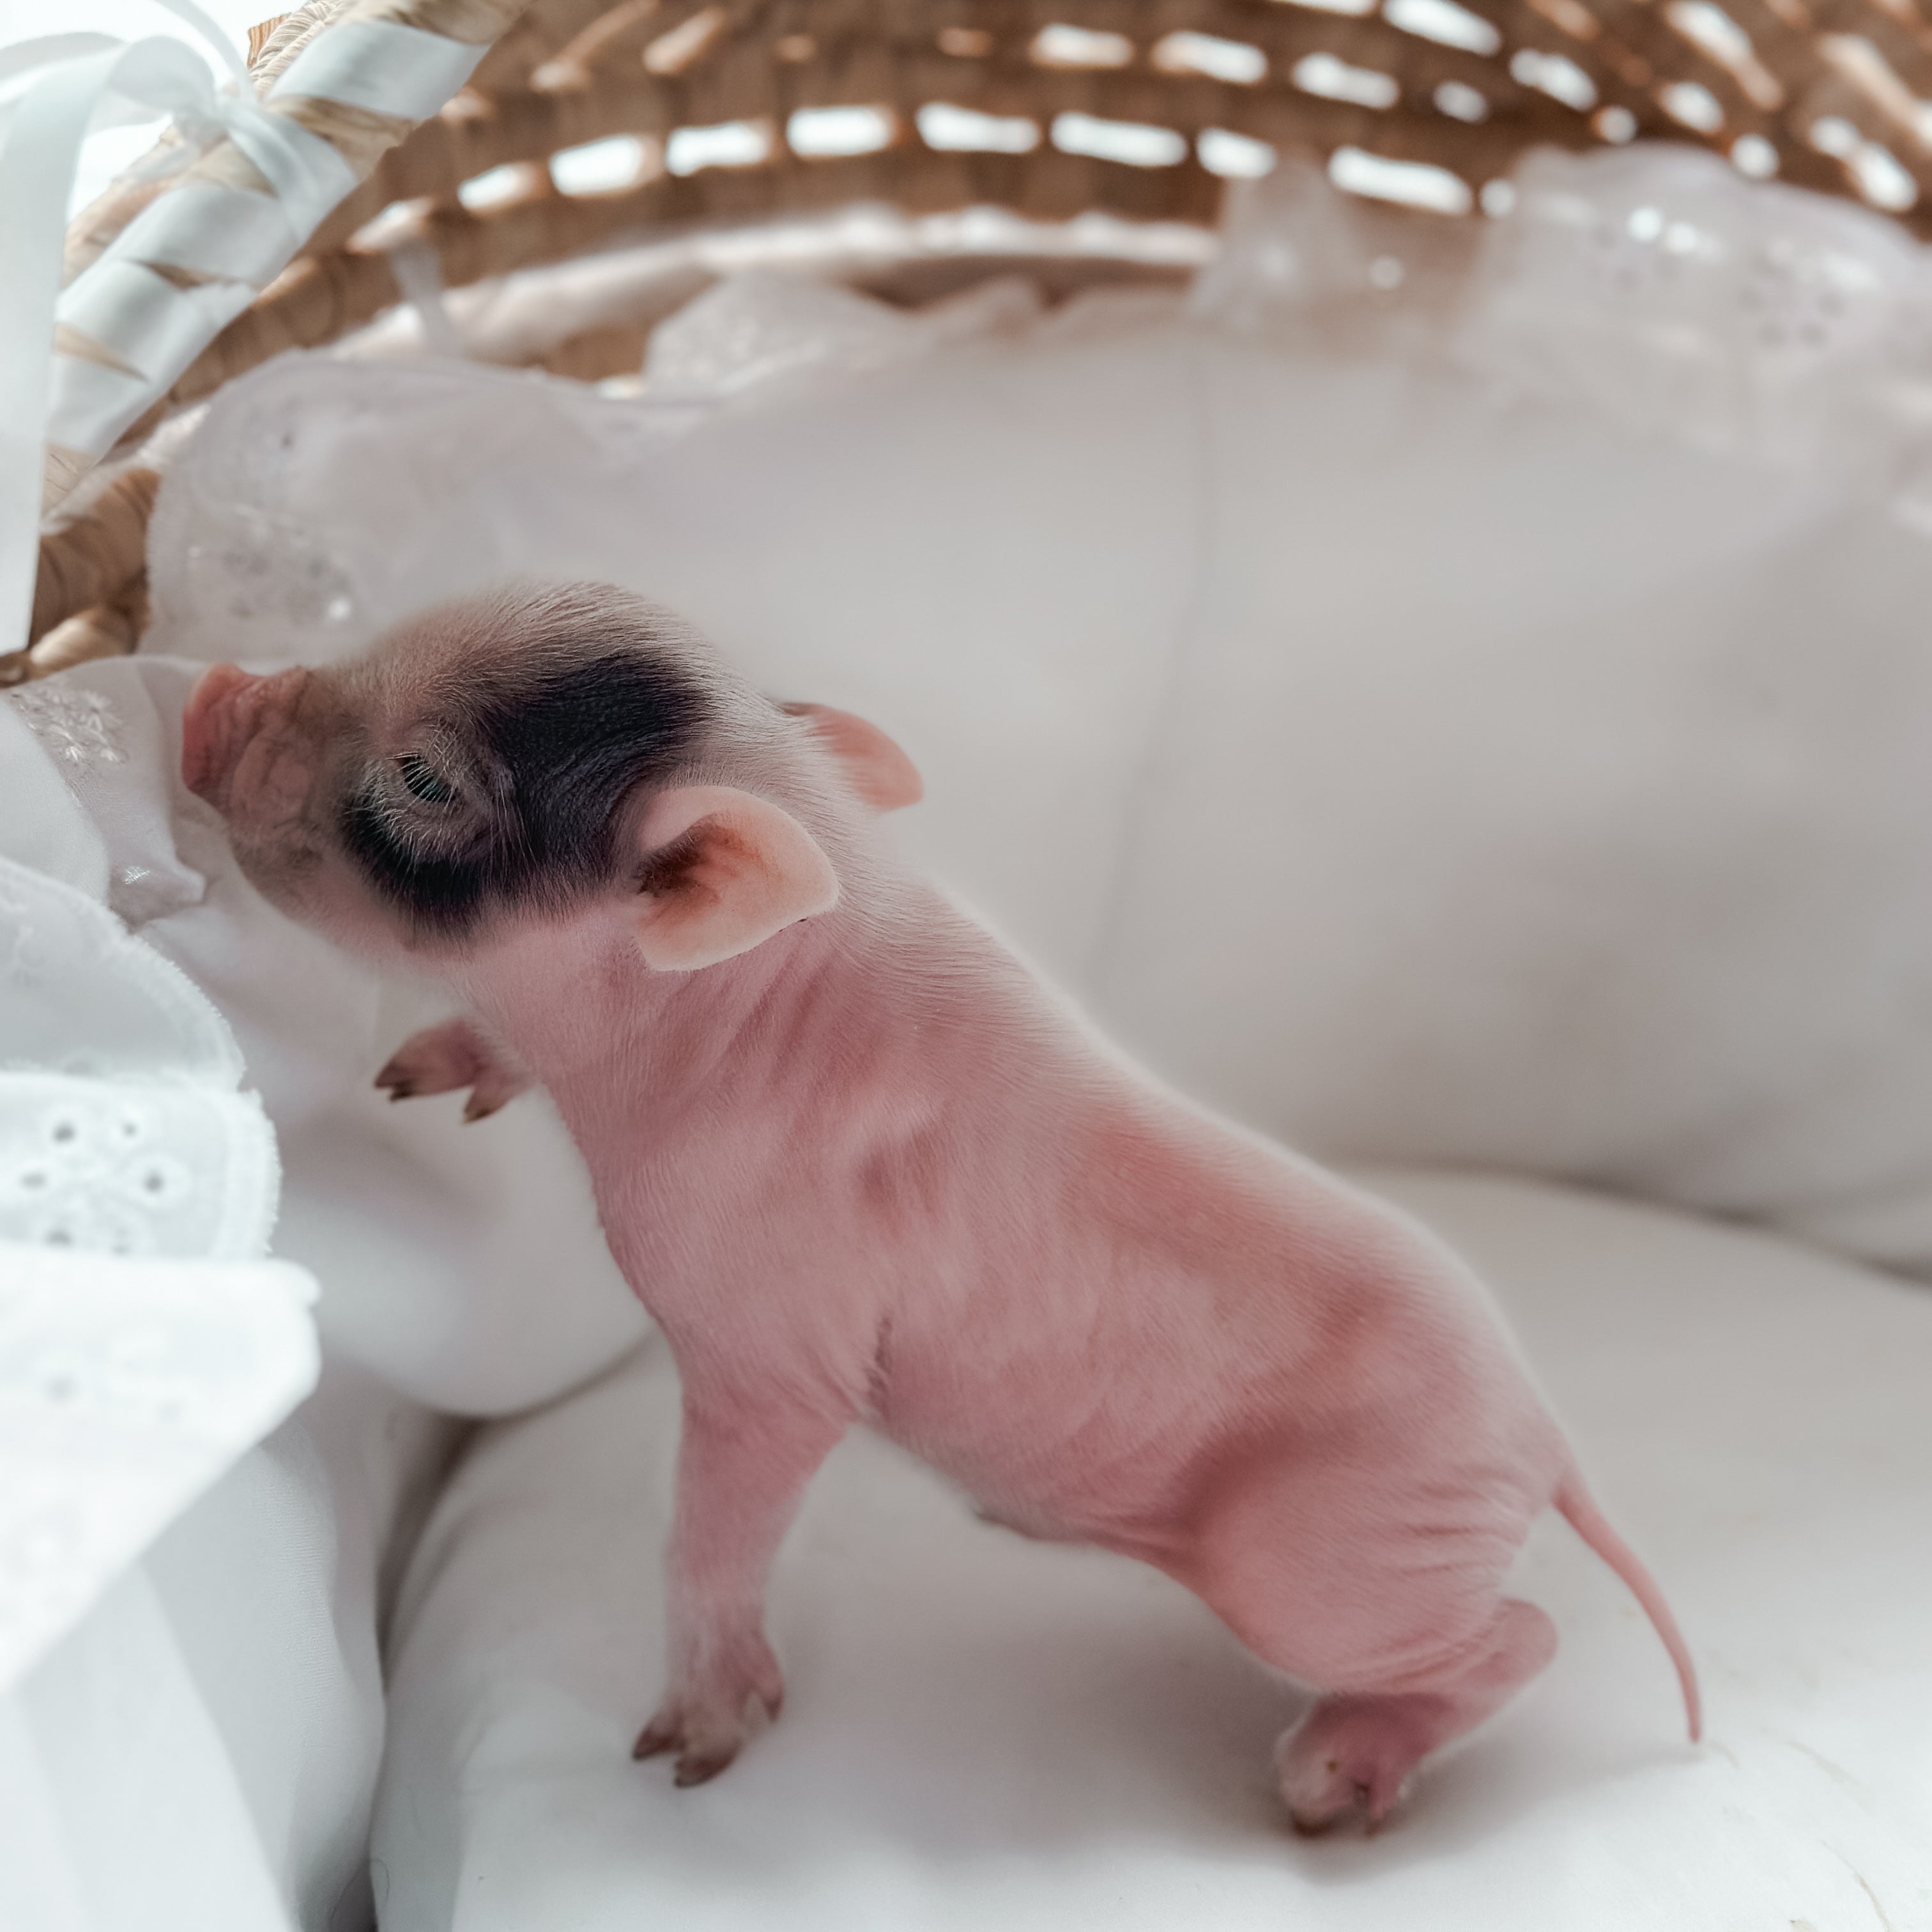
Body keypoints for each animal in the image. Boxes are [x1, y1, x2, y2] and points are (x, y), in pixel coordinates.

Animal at [180, 580, 1699, 1832]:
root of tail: (1543, 1436)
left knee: (1523, 1639)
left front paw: (688, 1753)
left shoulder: (778, 1351)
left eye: (425, 776)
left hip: (1323, 1567)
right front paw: (414, 1081)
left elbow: (710, 1526)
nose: (207, 694)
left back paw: (1327, 1788)